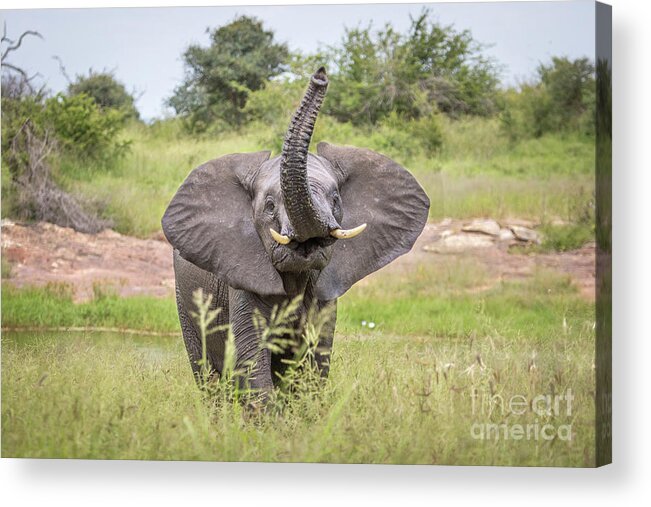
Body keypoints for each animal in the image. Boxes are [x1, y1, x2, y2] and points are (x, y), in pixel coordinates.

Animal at [161, 66, 430, 392]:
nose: (321, 74)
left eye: (336, 199)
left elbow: (315, 360)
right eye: (269, 206)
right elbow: (252, 358)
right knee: (206, 374)